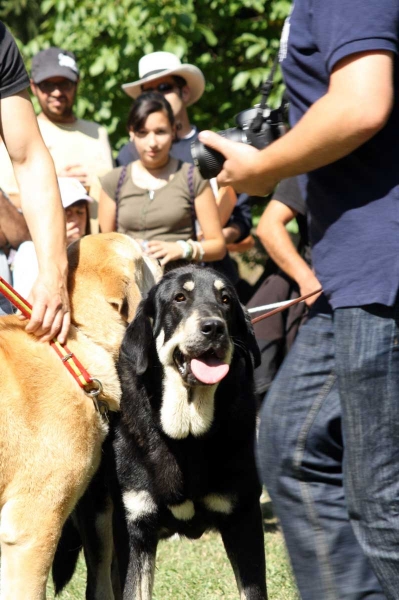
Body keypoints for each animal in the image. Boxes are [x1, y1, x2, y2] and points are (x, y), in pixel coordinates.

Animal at [108, 268, 268, 600]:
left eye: (226, 299)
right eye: (180, 298)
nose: (214, 328)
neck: (188, 437)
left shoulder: (243, 516)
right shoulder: (135, 527)